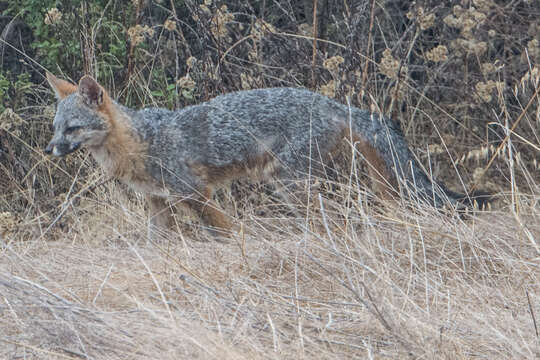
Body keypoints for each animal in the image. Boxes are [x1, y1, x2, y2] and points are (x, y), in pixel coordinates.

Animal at [45, 73, 486, 236]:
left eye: (73, 129)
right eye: (54, 128)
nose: (51, 150)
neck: (139, 143)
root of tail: (331, 102)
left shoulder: (196, 195)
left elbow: (227, 231)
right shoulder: (158, 203)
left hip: (288, 182)